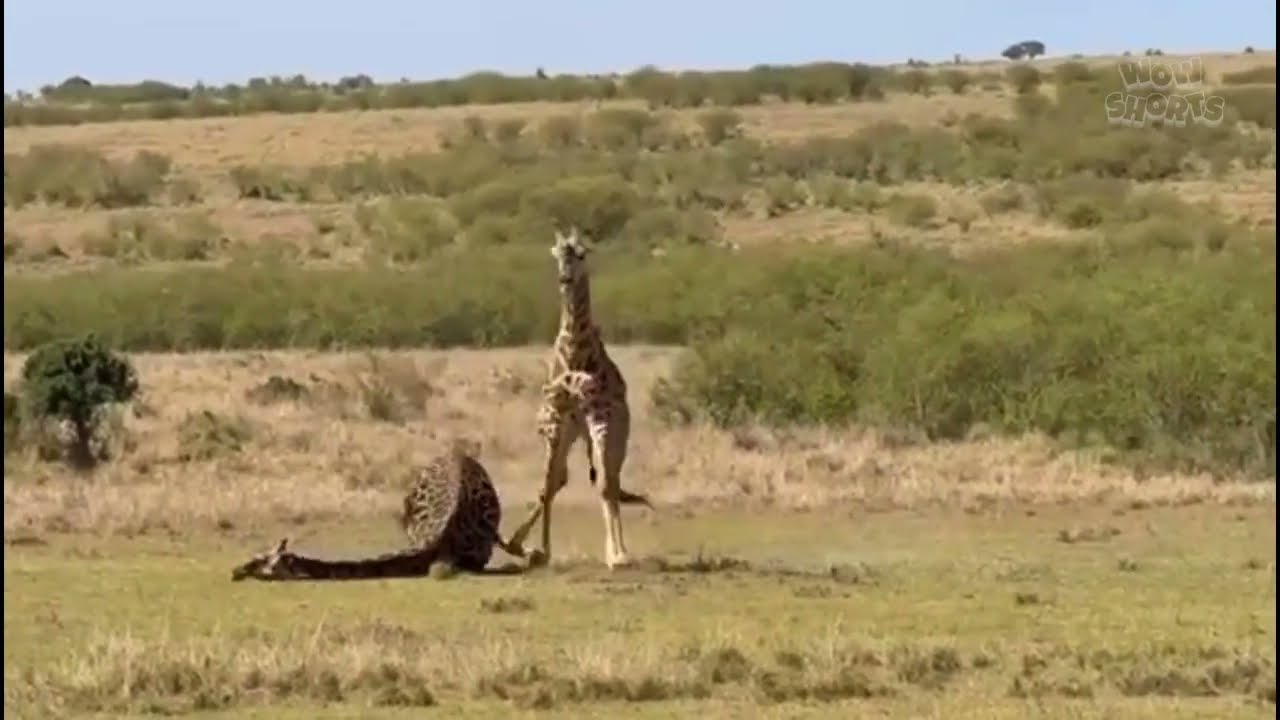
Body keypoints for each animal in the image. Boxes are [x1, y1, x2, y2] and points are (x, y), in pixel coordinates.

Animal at [505, 228, 647, 570]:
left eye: (582, 253)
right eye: (557, 252)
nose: (565, 278)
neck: (575, 352)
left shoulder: (601, 418)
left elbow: (605, 485)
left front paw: (618, 555)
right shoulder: (554, 422)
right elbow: (548, 485)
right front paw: (534, 550)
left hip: (615, 432)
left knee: (610, 480)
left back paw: (617, 552)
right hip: (572, 431)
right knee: (563, 480)